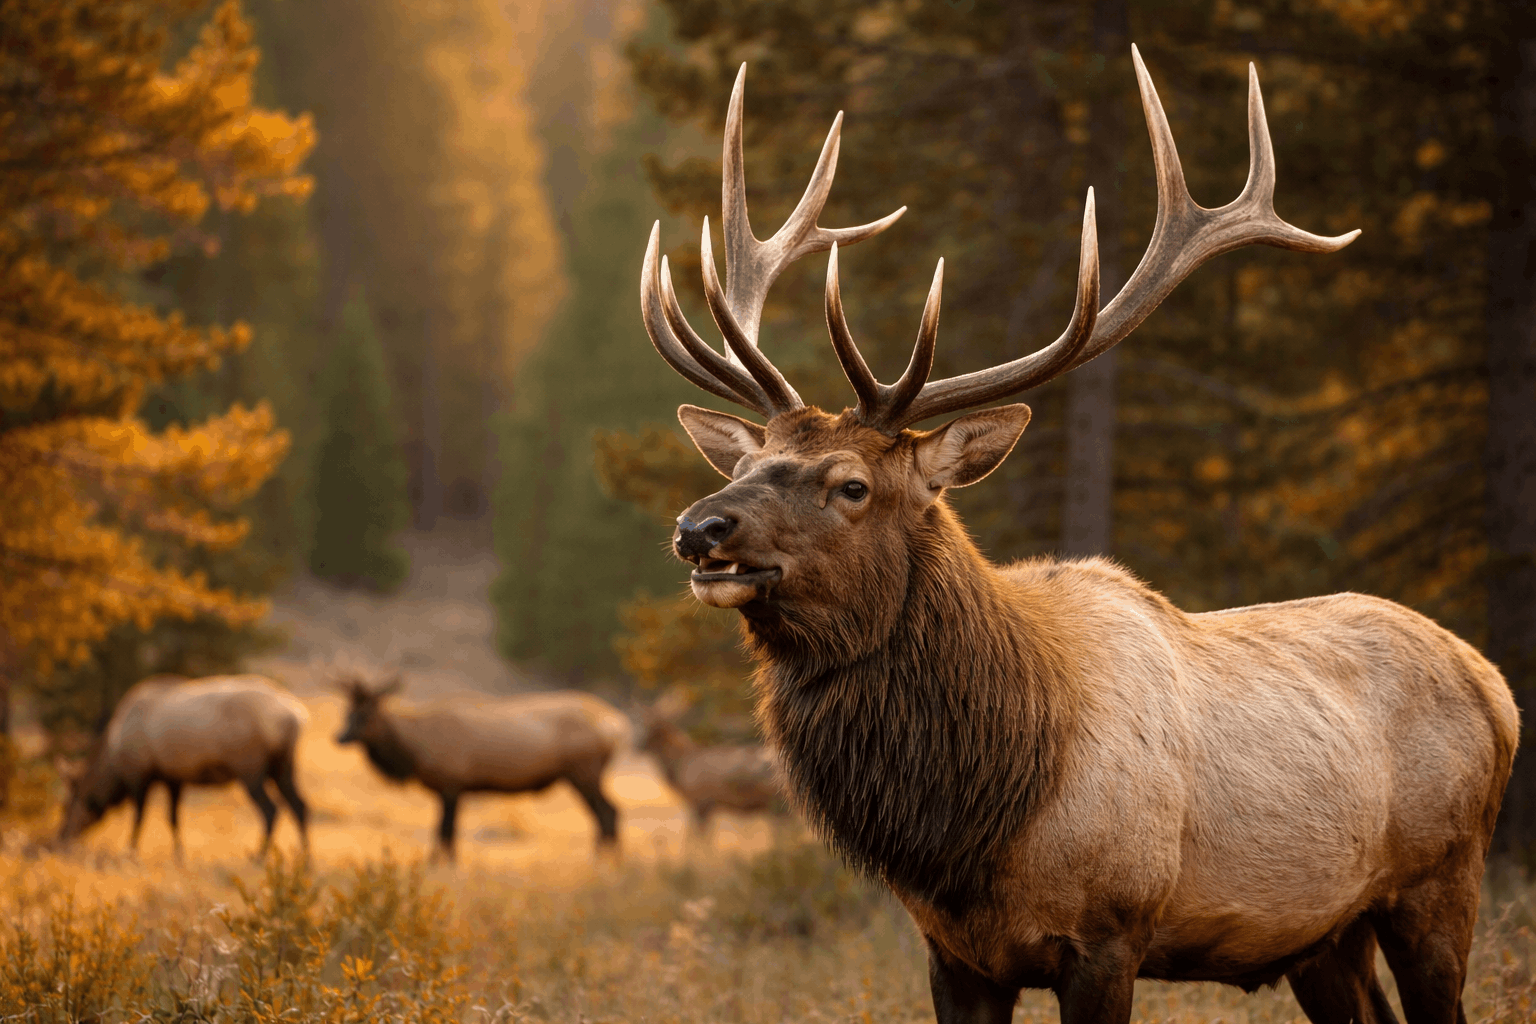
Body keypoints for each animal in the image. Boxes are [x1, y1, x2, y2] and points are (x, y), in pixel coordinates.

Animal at [56, 675, 310, 861]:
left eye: (65, 806)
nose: (59, 839)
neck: (114, 762)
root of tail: (295, 715)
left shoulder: (139, 775)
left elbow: (139, 818)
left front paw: (130, 852)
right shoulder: (173, 778)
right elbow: (173, 818)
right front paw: (179, 856)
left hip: (250, 769)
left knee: (271, 809)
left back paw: (259, 856)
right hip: (283, 767)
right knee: (299, 805)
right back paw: (305, 859)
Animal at [636, 50, 1518, 1024]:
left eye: (851, 485)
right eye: (752, 460)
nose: (698, 528)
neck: (977, 822)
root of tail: (1496, 685)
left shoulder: (1109, 931)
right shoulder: (956, 954)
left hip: (1441, 878)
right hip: (1326, 933)